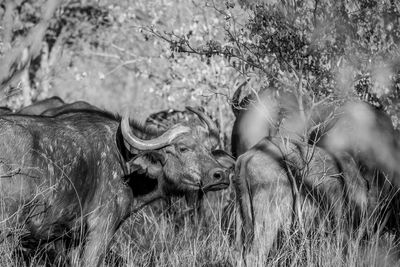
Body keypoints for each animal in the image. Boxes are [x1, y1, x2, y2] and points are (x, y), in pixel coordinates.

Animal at [0, 108, 230, 266]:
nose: (220, 175)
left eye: (209, 149)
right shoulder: (102, 229)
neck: (125, 161)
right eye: (183, 148)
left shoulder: (72, 238)